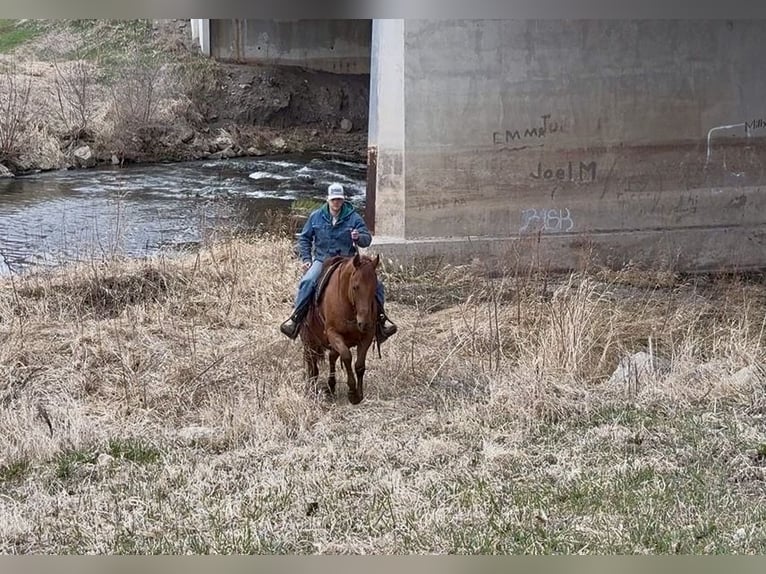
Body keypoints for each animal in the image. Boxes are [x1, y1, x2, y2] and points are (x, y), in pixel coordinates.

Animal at [299, 252, 380, 405]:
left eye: (375, 287)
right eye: (355, 287)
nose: (364, 323)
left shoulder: (367, 336)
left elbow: (359, 365)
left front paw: (359, 394)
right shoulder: (333, 333)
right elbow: (347, 356)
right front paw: (352, 392)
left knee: (331, 357)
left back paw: (331, 386)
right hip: (309, 342)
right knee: (312, 363)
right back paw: (312, 387)